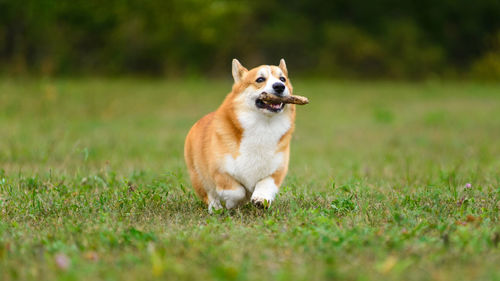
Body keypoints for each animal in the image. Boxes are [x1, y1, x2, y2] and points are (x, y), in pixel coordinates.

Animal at [185, 59, 294, 211]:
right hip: (198, 176)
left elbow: (265, 184)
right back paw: (216, 208)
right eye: (260, 79)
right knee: (210, 194)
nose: (279, 86)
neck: (263, 126)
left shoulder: (276, 171)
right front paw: (233, 203)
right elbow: (237, 191)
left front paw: (260, 199)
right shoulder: (220, 171)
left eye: (282, 79)